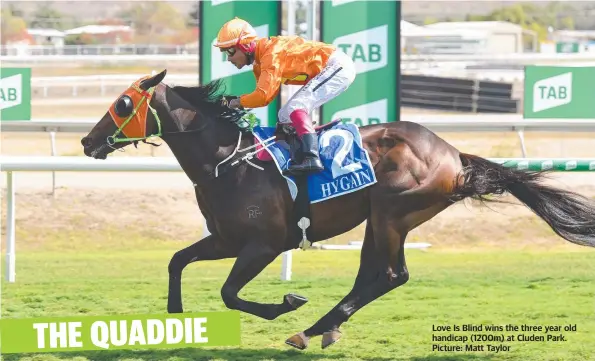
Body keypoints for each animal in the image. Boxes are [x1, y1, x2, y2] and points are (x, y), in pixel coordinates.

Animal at [81, 69, 595, 348]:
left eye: (123, 102)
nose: (87, 141)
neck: (228, 161)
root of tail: (453, 154)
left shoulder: (265, 244)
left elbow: (229, 293)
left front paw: (287, 303)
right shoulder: (226, 239)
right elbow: (177, 260)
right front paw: (173, 318)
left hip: (392, 212)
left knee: (389, 275)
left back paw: (308, 329)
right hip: (381, 219)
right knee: (376, 274)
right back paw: (320, 330)